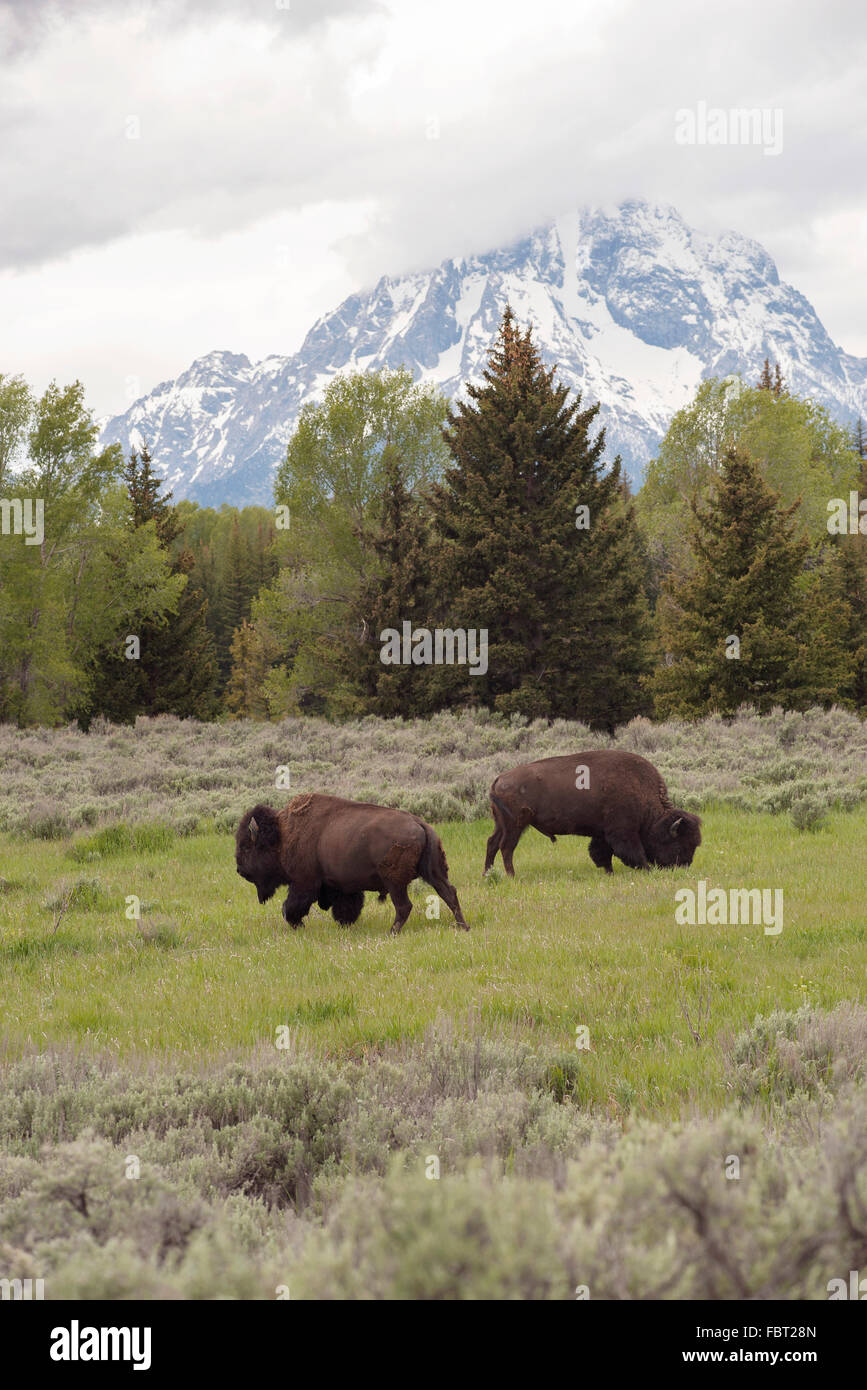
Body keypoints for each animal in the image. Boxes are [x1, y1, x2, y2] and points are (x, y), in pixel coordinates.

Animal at [234, 795, 466, 934]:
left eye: (247, 847)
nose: (240, 869)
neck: (282, 835)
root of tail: (420, 824)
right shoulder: (342, 886)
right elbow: (346, 907)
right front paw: (344, 924)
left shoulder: (304, 882)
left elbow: (291, 906)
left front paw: (297, 924)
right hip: (435, 872)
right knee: (449, 893)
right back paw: (463, 927)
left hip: (394, 882)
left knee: (404, 905)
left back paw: (392, 932)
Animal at [483, 750, 700, 878]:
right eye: (678, 843)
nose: (684, 867)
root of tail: (499, 779)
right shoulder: (623, 832)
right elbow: (632, 852)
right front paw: (646, 869)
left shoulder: (602, 833)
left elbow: (601, 852)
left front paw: (609, 872)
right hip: (515, 826)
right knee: (506, 847)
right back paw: (511, 876)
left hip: (501, 824)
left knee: (492, 843)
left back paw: (487, 874)